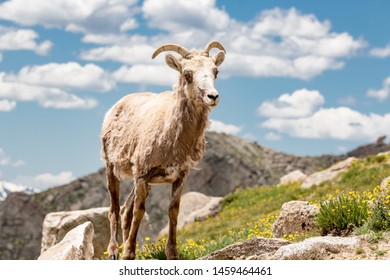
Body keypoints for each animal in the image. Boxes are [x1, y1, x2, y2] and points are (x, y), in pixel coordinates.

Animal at [100, 40, 225, 260]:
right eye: (187, 74)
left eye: (215, 71)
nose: (213, 96)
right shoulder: (142, 173)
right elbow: (139, 212)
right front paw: (128, 254)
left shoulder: (180, 176)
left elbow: (173, 211)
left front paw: (172, 254)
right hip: (111, 168)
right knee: (114, 209)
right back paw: (114, 252)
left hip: (144, 182)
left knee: (125, 211)